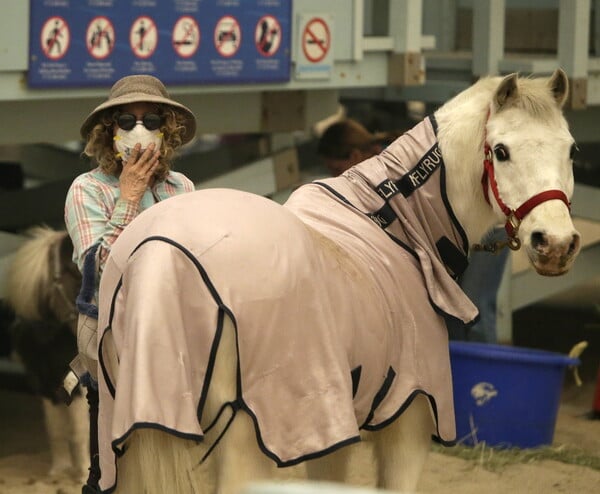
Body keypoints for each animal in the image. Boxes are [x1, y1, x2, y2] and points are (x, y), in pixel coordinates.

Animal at [4, 228, 89, 482]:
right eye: (73, 269)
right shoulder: (45, 385)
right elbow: (56, 430)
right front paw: (59, 471)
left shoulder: (79, 386)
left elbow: (79, 431)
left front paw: (83, 473)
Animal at [95, 69, 580, 494]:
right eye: (501, 151)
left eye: (572, 150)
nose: (555, 243)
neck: (396, 224)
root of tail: (161, 249)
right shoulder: (410, 419)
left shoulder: (332, 439)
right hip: (243, 443)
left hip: (134, 437)